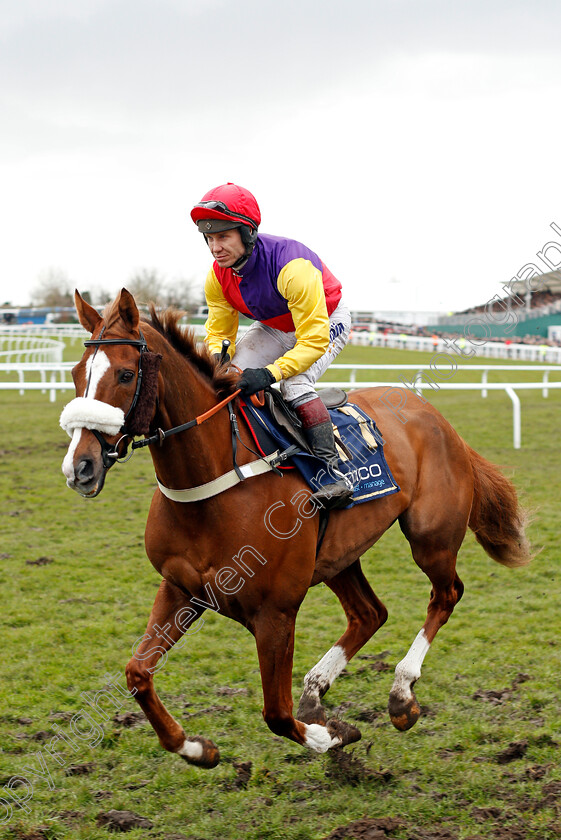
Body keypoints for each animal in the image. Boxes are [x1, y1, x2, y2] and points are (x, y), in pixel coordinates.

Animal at [60, 290, 528, 768]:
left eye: (124, 373)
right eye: (77, 373)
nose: (81, 466)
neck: (214, 485)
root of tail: (438, 418)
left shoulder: (276, 612)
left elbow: (277, 714)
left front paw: (334, 734)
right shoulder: (180, 588)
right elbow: (137, 673)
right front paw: (197, 748)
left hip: (431, 537)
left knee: (446, 594)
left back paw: (401, 693)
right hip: (338, 555)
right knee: (370, 613)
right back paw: (316, 692)